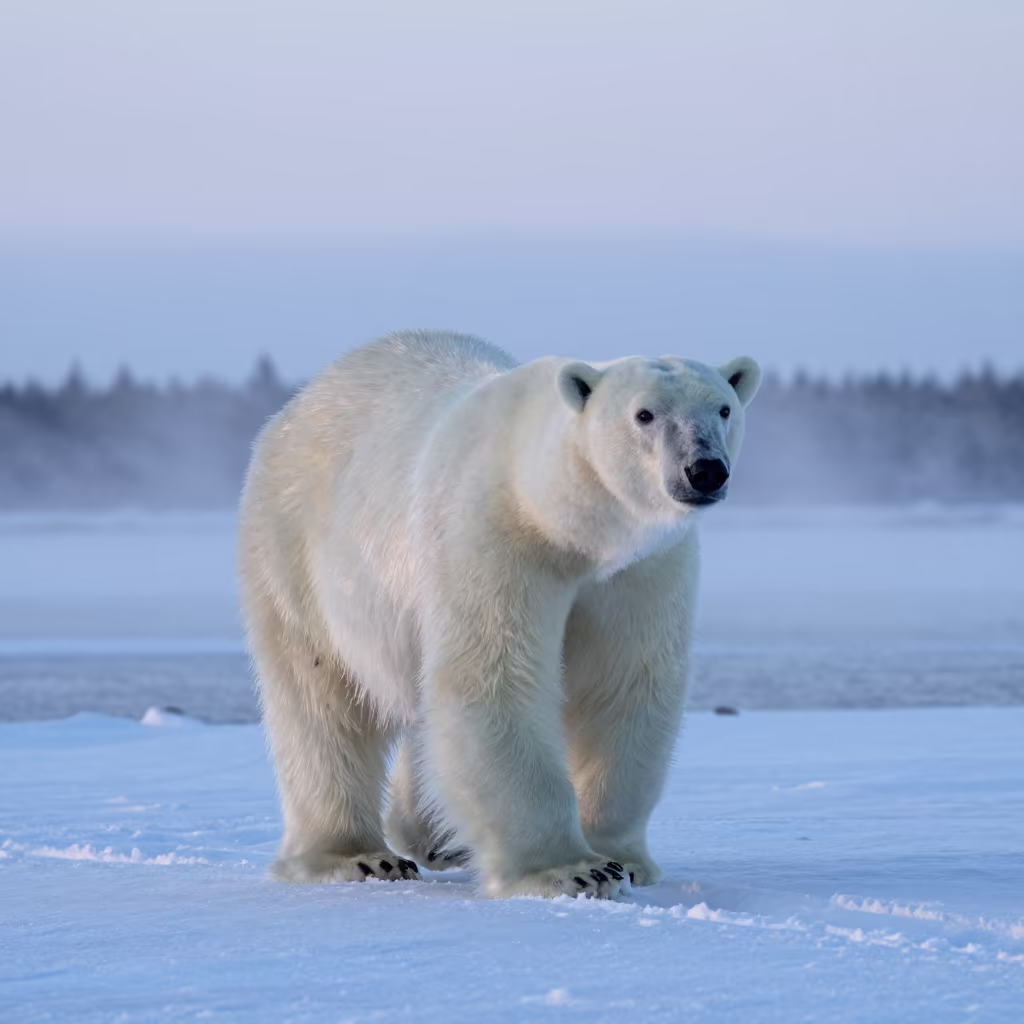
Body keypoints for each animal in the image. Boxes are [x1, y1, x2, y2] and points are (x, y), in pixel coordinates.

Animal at [238, 330, 760, 899]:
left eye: (723, 408)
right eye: (644, 414)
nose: (704, 470)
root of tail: (301, 401)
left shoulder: (639, 569)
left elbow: (621, 684)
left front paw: (623, 858)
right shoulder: (494, 534)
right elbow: (493, 678)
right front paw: (573, 870)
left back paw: (431, 837)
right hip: (295, 548)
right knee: (320, 697)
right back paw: (359, 856)